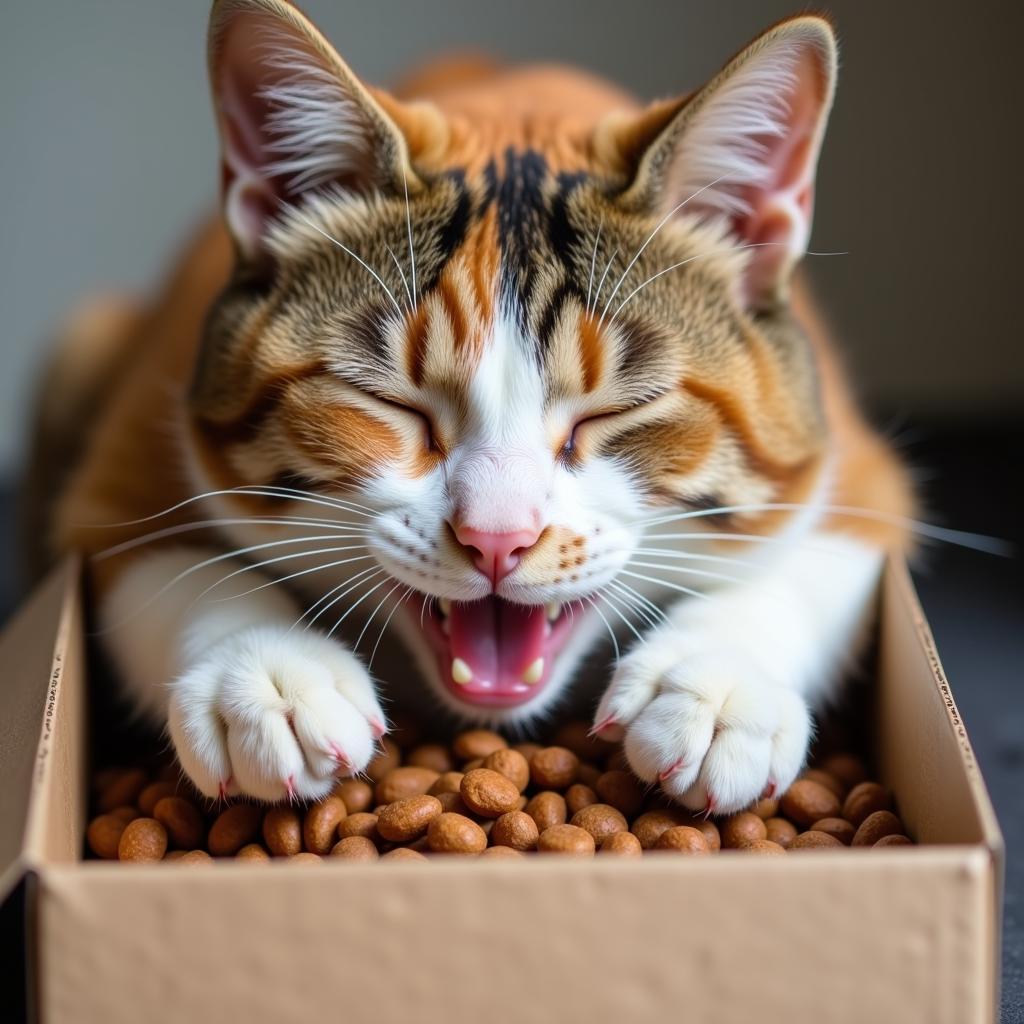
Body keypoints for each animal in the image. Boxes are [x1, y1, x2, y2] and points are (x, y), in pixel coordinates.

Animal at [39, 0, 913, 815]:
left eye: (613, 413)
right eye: (390, 402)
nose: (498, 538)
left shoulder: (850, 453)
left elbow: (821, 549)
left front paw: (715, 687)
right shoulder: (137, 429)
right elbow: (154, 546)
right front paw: (265, 675)